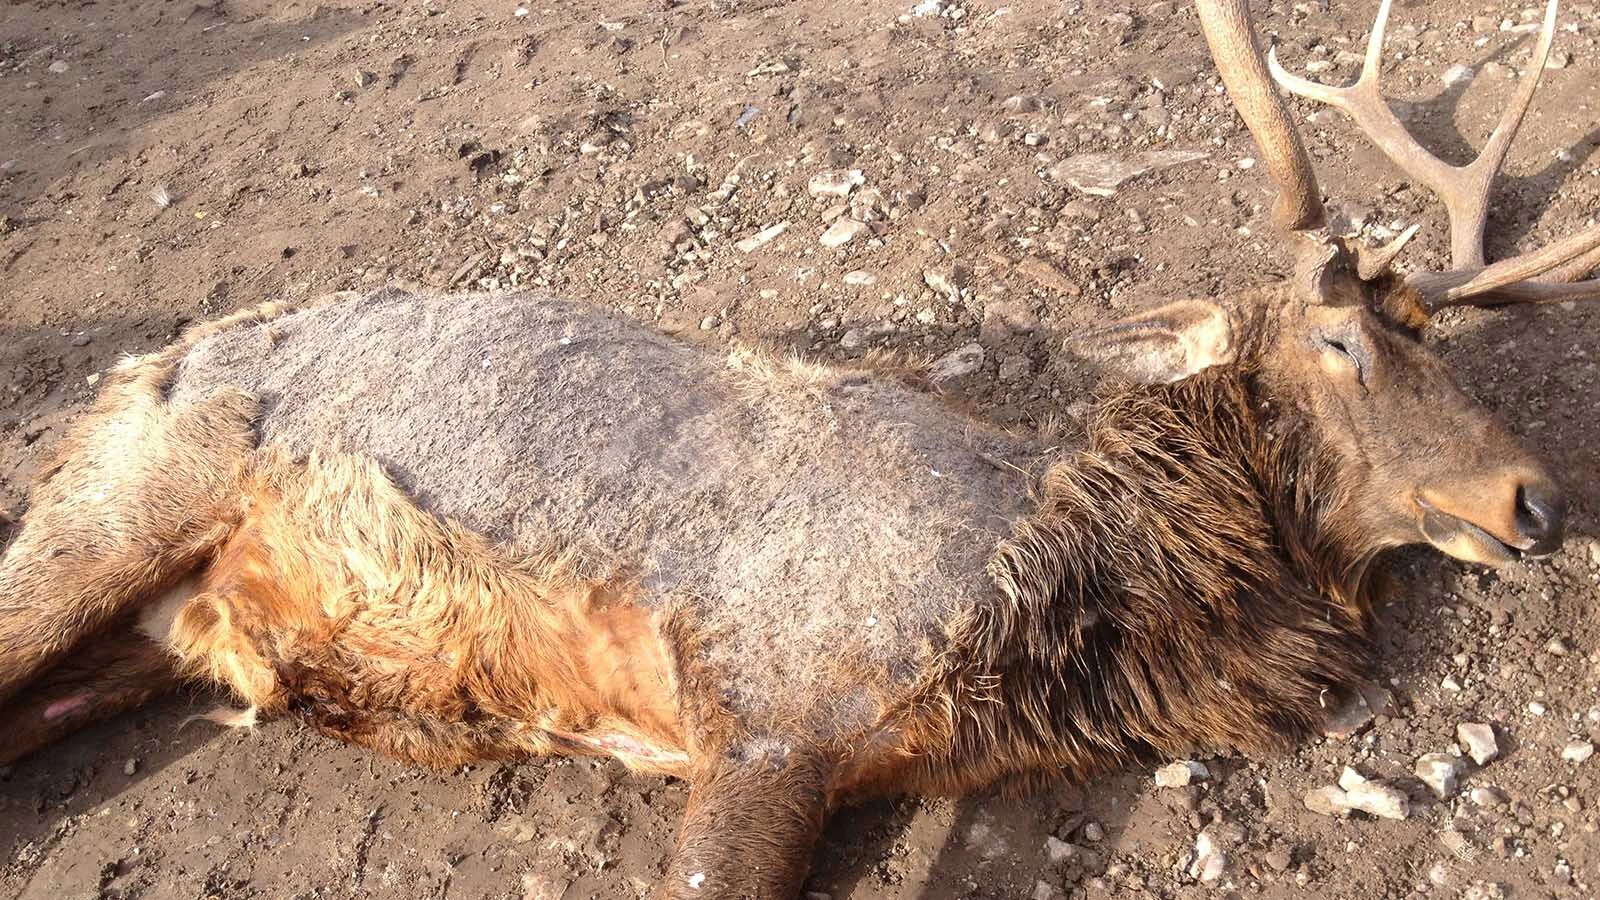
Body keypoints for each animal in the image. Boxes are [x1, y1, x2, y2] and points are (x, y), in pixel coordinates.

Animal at [1, 0, 1597, 896]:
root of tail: (132, 371)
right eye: (1345, 344)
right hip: (116, 513)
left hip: (158, 636)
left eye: (1436, 336)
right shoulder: (773, 703)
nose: (1537, 496)